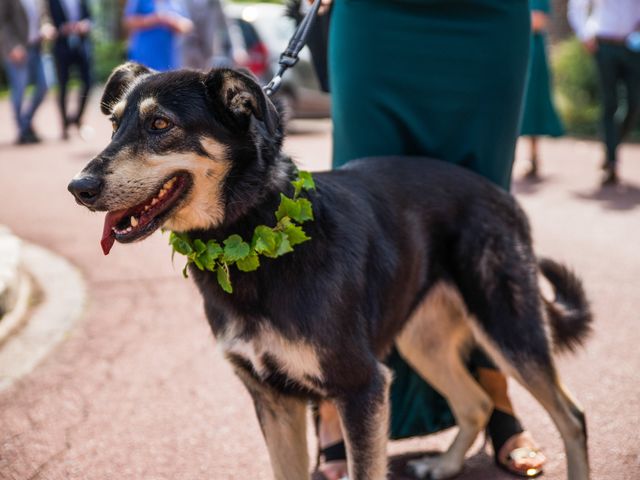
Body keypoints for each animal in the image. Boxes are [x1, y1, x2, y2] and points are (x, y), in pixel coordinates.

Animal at [67, 62, 592, 478]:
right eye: (113, 124)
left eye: (160, 123)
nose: (78, 188)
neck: (254, 233)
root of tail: (505, 198)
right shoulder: (274, 400)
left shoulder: (362, 387)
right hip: (421, 339)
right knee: (476, 403)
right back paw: (443, 465)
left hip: (508, 328)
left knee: (572, 417)